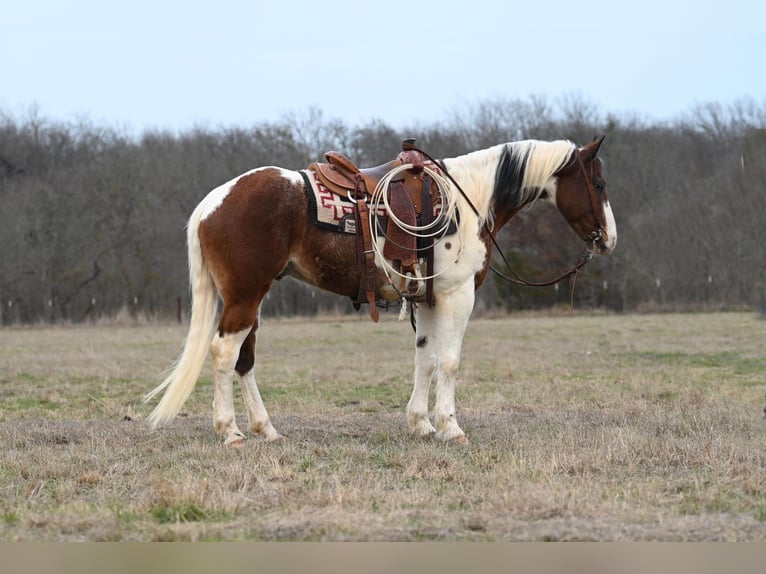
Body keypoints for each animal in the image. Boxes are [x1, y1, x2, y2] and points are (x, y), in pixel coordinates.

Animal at [144, 135, 620, 446]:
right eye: (598, 184)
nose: (608, 239)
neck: (468, 199)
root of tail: (213, 202)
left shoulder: (427, 300)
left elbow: (425, 359)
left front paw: (421, 424)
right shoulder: (457, 296)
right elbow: (449, 362)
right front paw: (451, 427)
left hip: (250, 297)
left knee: (244, 359)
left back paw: (266, 429)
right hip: (246, 295)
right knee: (225, 353)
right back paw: (231, 432)